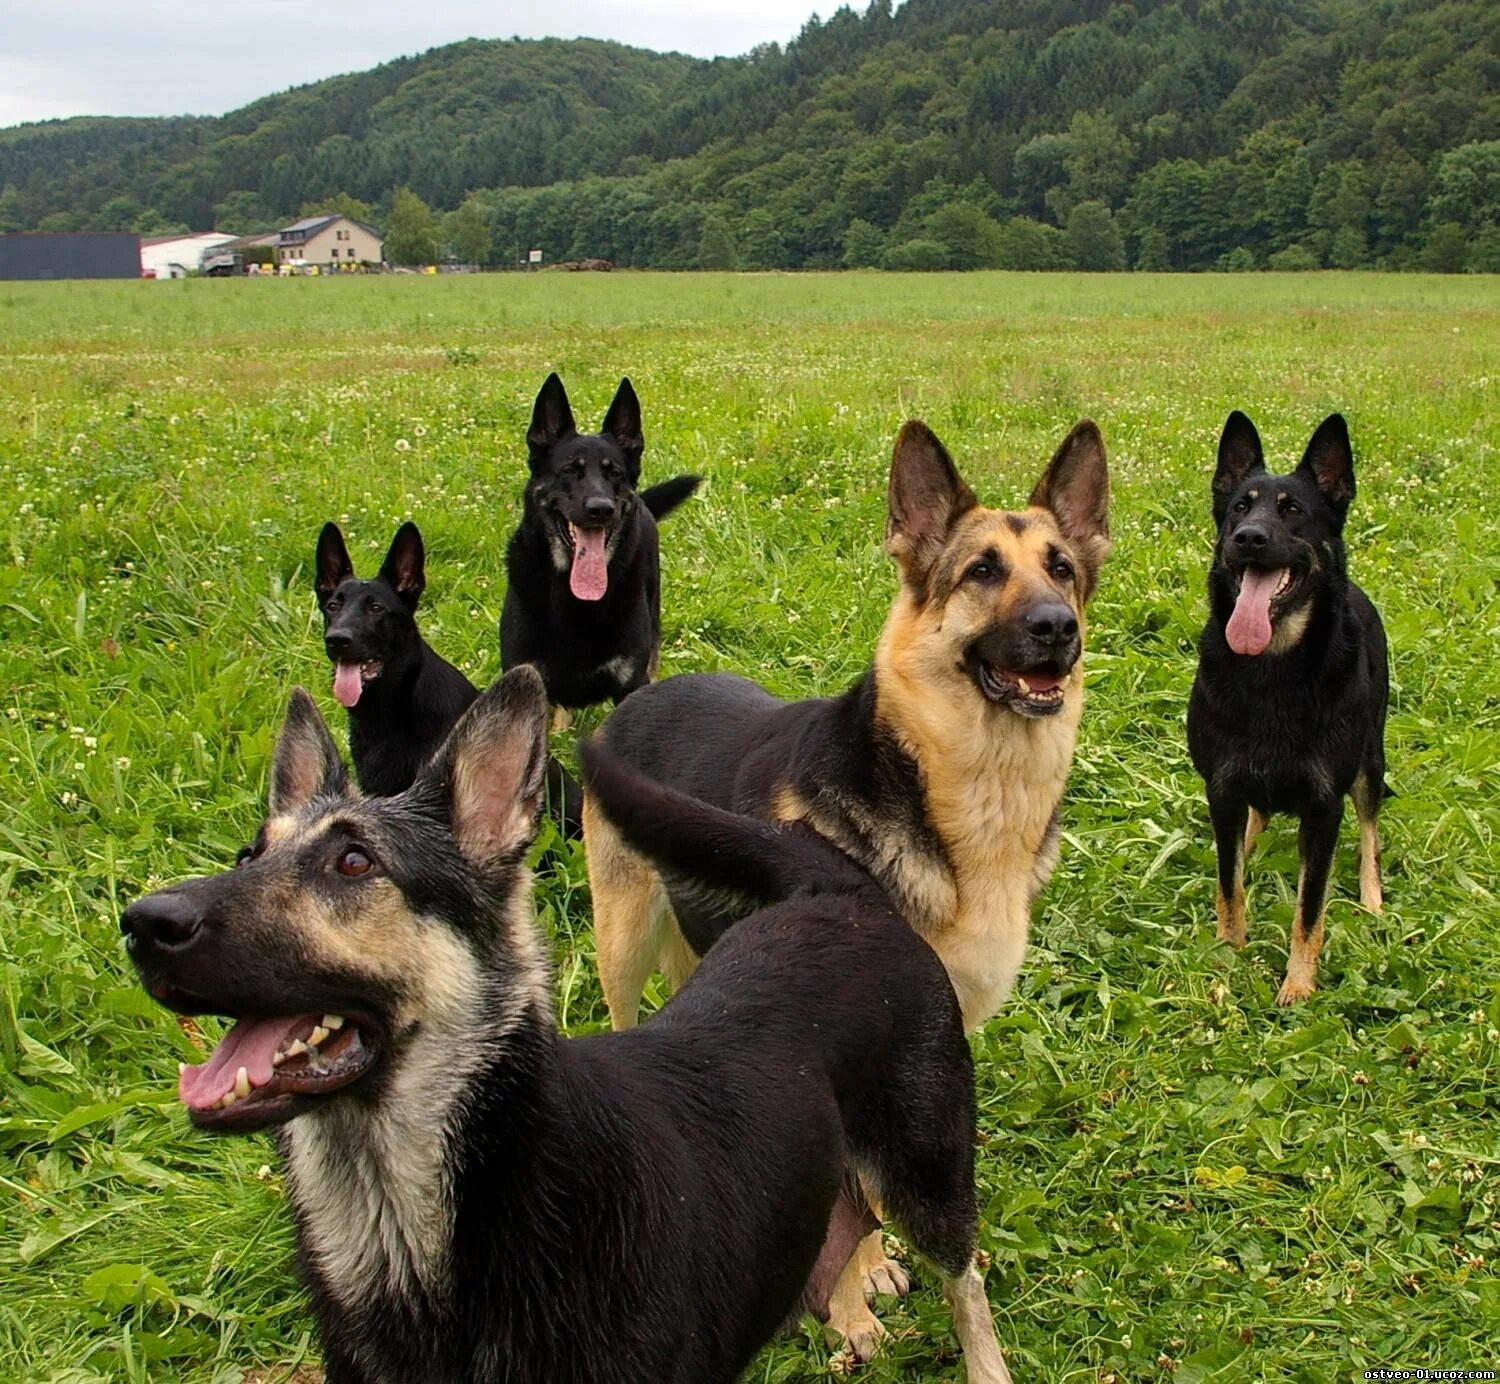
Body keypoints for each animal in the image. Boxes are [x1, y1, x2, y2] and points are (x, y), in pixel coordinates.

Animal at [117, 665, 1008, 1379]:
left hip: (929, 1171)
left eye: (354, 862)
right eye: (249, 855)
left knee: (966, 1285)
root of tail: (832, 890)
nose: (143, 924)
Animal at [585, 413, 1116, 1361]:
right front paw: (858, 1297)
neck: (955, 794)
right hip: (622, 935)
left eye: (1061, 567)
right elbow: (850, 1189)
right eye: (982, 572)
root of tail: (647, 692)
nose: (1059, 627)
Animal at [1188, 410, 1386, 1007]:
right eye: (1239, 507)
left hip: (1370, 760)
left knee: (1370, 829)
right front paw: (1229, 955)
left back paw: (1372, 898)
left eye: (1293, 510)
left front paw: (1299, 982)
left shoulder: (1324, 808)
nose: (1248, 538)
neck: (1273, 666)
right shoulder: (1223, 787)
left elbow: (1309, 907)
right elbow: (1229, 885)